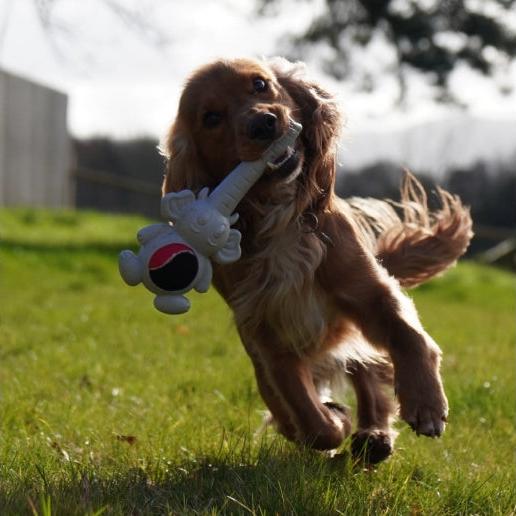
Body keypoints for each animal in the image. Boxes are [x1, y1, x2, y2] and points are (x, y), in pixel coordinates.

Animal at [161, 57, 472, 464]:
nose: (263, 123)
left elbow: (408, 336)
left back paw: (374, 435)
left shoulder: (367, 290)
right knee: (295, 408)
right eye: (211, 118)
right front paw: (333, 420)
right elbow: (307, 414)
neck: (281, 218)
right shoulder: (270, 336)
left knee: (369, 377)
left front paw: (426, 403)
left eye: (260, 84)